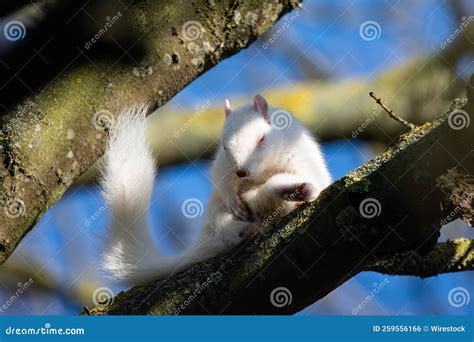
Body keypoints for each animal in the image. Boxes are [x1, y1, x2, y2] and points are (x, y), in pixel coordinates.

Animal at [101, 95, 330, 288]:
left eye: (261, 139)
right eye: (225, 147)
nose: (241, 172)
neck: (262, 171)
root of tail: (205, 239)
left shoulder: (298, 157)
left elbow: (308, 176)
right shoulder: (222, 165)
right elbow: (222, 182)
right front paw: (234, 201)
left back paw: (292, 192)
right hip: (217, 215)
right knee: (227, 230)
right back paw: (246, 226)